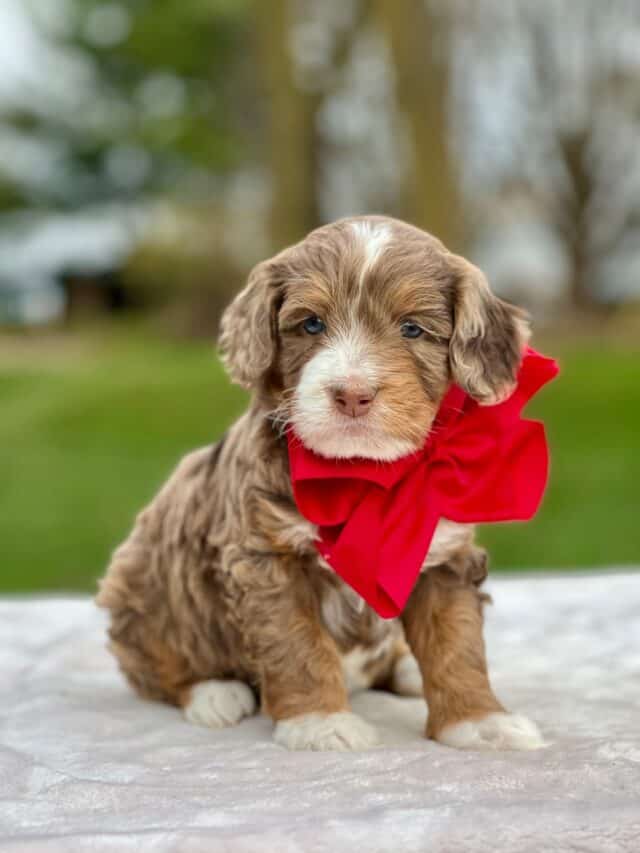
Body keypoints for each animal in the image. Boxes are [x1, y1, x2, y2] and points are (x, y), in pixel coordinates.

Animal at [99, 215, 544, 752]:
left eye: (412, 329)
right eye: (311, 323)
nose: (352, 394)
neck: (364, 473)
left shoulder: (444, 556)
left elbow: (456, 641)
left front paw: (480, 721)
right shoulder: (266, 558)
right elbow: (298, 643)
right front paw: (321, 722)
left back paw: (404, 671)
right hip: (142, 584)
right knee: (155, 661)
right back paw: (213, 693)